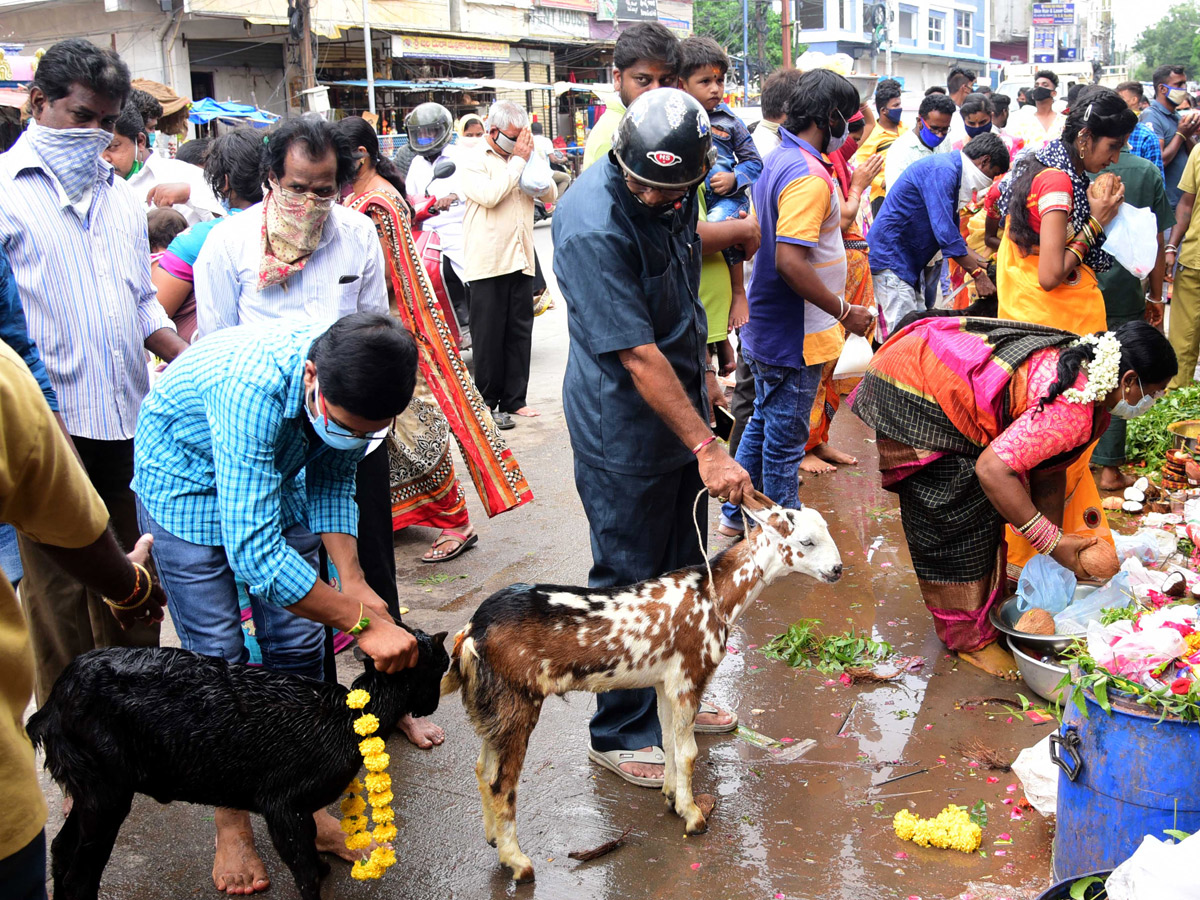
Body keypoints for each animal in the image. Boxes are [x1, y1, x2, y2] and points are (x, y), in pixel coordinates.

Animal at [28, 633, 451, 900]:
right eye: (442, 667)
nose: (430, 707)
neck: (347, 718)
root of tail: (53, 702)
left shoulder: (298, 809)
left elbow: (310, 851)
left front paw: (324, 864)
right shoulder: (282, 804)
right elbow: (303, 869)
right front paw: (316, 878)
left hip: (92, 787)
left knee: (62, 848)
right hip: (106, 787)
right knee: (80, 872)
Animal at [441, 489, 844, 883]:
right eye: (806, 541)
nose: (838, 569)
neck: (711, 594)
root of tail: (473, 631)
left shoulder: (666, 682)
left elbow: (669, 740)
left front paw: (671, 797)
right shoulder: (689, 676)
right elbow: (688, 752)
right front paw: (694, 816)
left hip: (493, 705)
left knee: (483, 769)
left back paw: (493, 838)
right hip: (517, 699)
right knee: (502, 782)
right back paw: (518, 863)